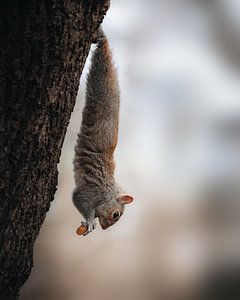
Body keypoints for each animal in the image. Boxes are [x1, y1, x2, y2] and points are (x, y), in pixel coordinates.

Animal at [72, 27, 134, 236]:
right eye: (116, 214)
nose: (105, 228)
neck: (108, 191)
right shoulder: (90, 192)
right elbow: (79, 200)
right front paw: (90, 221)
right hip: (100, 81)